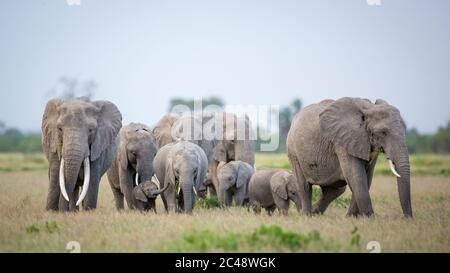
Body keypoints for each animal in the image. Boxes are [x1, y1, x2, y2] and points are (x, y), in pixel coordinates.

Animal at [286, 97, 414, 217]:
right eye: (383, 132)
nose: (408, 218)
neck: (369, 108)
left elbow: (367, 178)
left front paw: (351, 218)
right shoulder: (343, 141)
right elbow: (357, 178)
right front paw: (370, 219)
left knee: (335, 190)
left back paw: (315, 213)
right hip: (293, 150)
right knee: (304, 186)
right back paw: (306, 215)